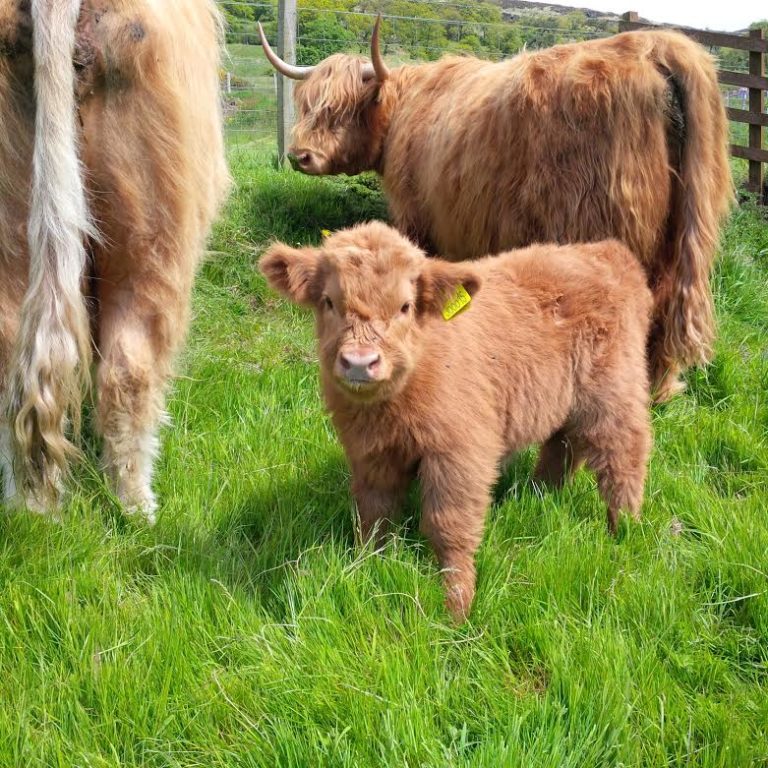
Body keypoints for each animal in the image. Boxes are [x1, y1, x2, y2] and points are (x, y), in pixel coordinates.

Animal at [259, 20, 733, 403]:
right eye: (307, 104)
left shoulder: (418, 217)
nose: (299, 155)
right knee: (670, 310)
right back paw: (661, 389)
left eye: (340, 109)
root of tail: (655, 45)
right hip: (685, 235)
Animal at [260, 222, 653, 621]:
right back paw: (539, 495)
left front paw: (457, 607)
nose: (359, 362)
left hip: (615, 393)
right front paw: (370, 567)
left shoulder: (459, 454)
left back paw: (623, 529)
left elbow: (448, 525)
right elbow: (374, 514)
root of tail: (604, 251)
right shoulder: (370, 455)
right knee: (562, 445)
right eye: (328, 302)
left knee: (623, 455)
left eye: (405, 306)